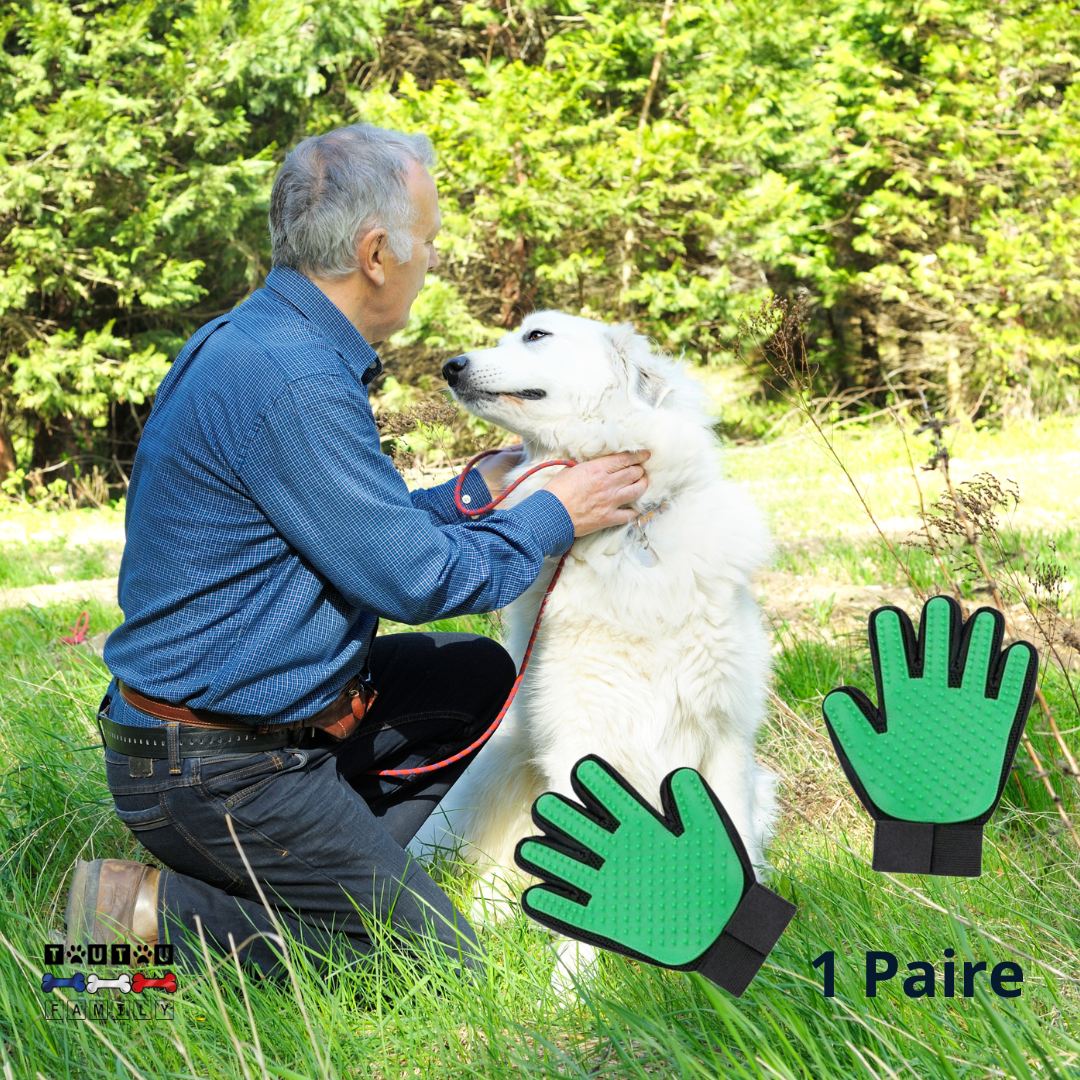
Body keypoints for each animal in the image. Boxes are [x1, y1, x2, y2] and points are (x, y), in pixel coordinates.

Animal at [412, 313, 777, 963]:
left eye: (536, 336)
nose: (450, 366)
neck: (628, 533)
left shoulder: (726, 734)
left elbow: (735, 844)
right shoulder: (583, 744)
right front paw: (574, 981)